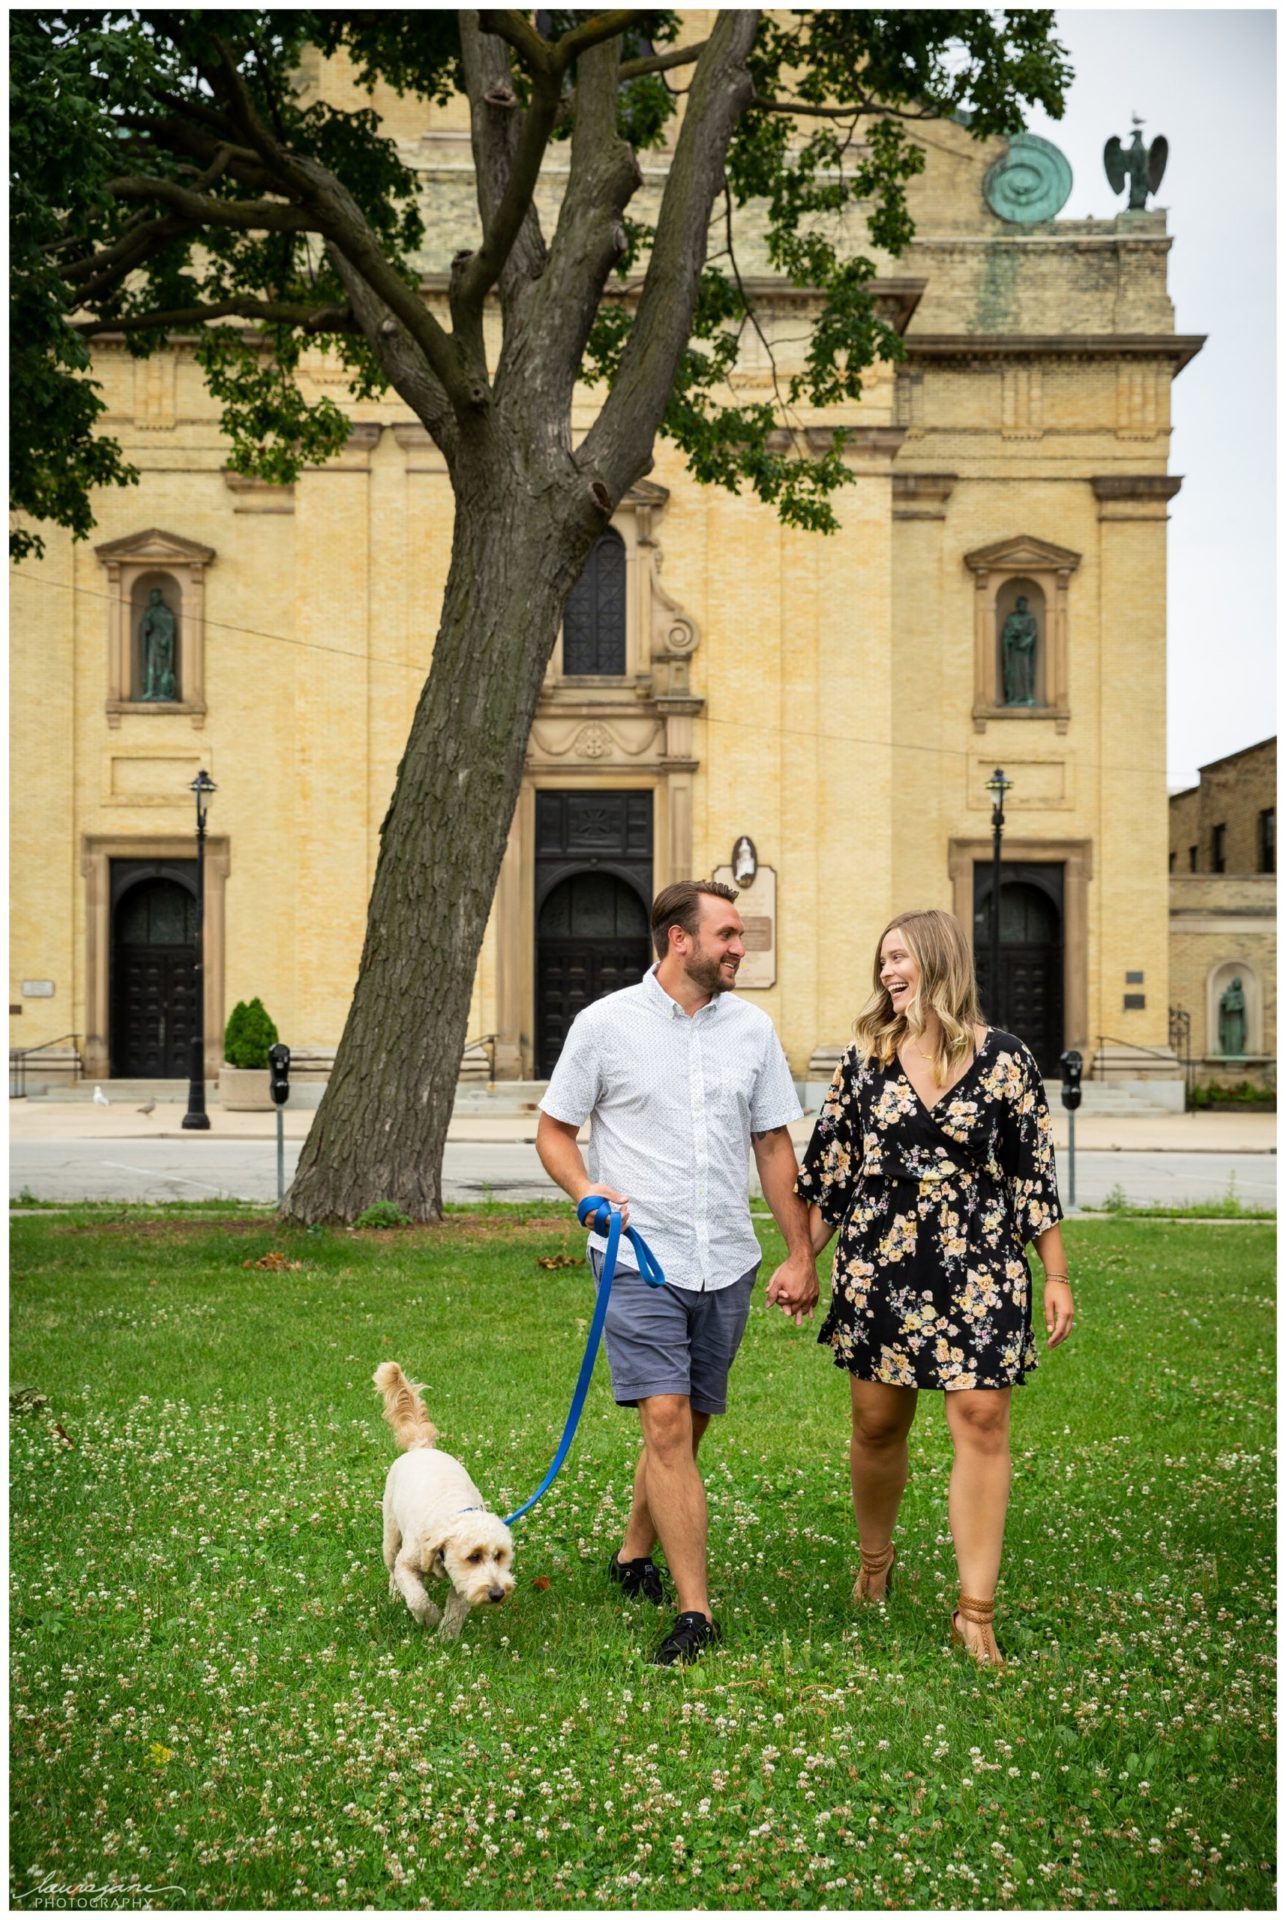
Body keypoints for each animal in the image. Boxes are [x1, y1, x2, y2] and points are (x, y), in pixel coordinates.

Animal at [370, 1359, 518, 1643]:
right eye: (474, 1556)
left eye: (500, 1556)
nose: (497, 1594)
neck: (454, 1512)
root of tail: (421, 1447)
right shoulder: (408, 1563)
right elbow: (417, 1597)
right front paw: (429, 1618)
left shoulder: (462, 1583)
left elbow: (456, 1612)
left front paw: (446, 1639)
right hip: (390, 1535)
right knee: (392, 1568)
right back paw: (394, 1594)